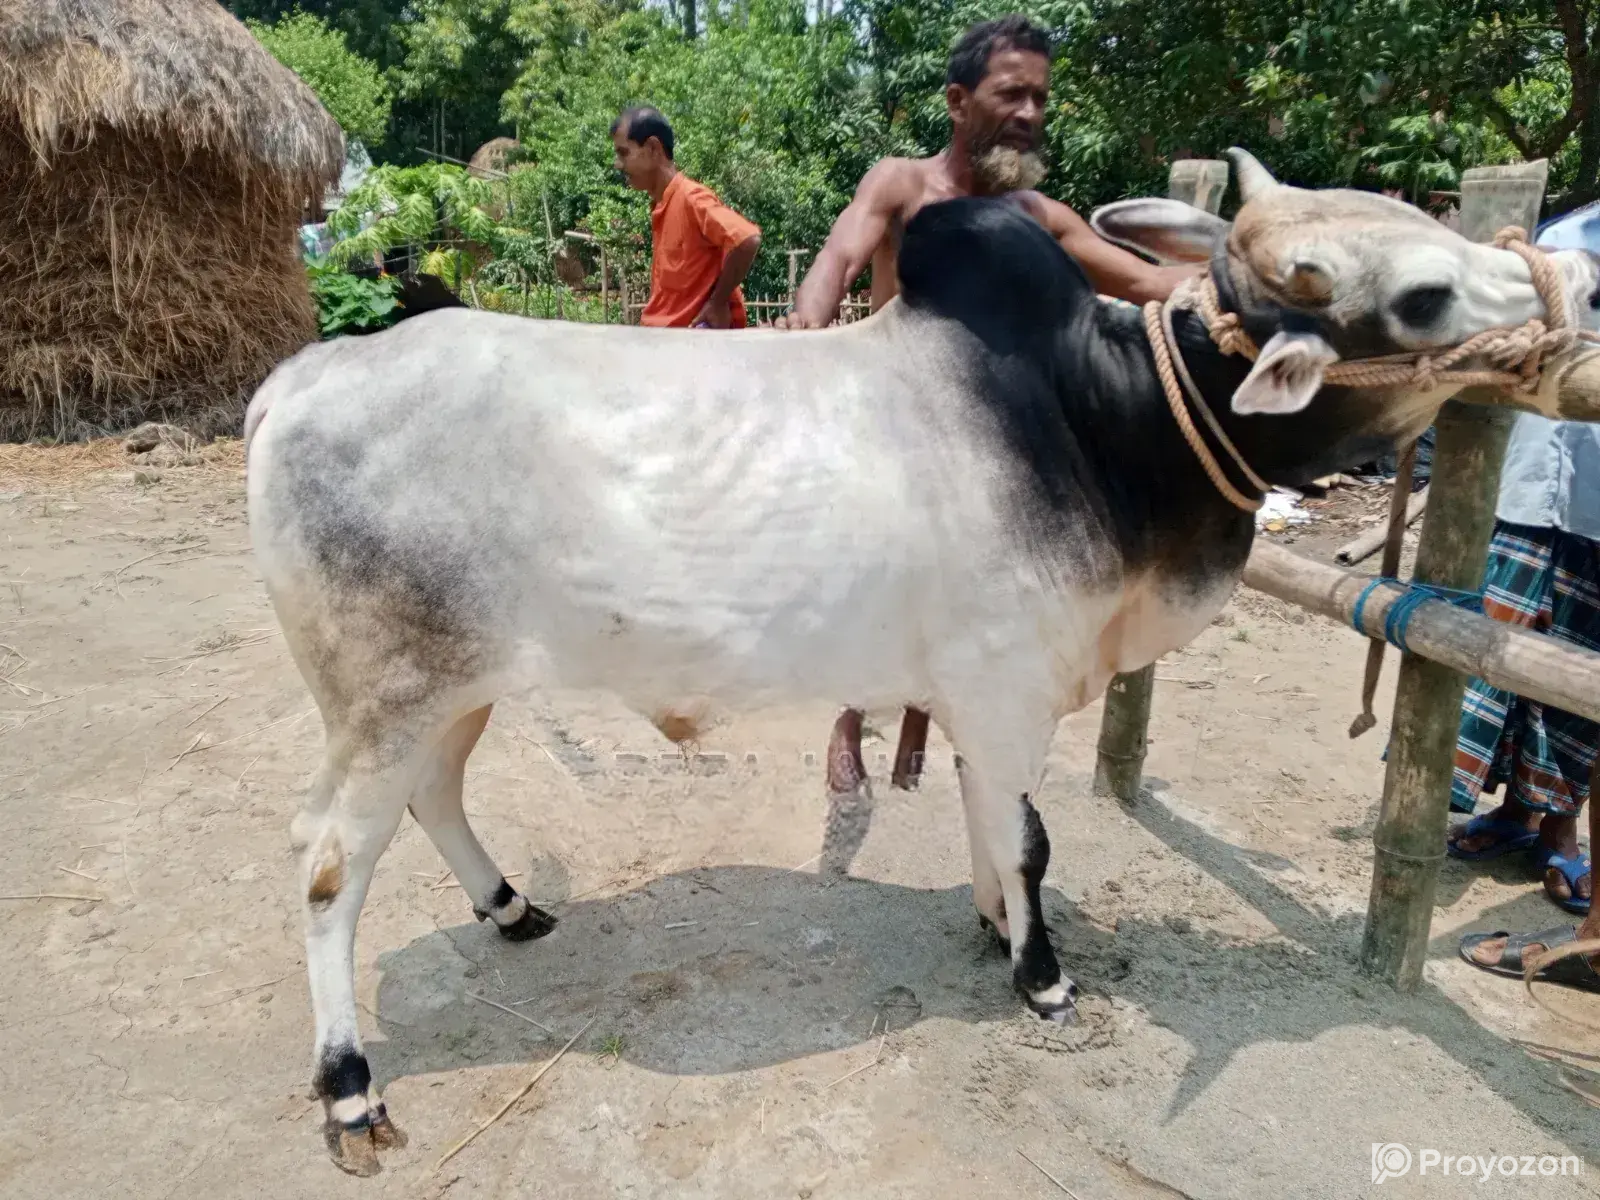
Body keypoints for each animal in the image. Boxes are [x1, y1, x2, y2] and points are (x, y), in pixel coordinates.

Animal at [244, 148, 1599, 1174]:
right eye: (1421, 294)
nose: (1574, 279)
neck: (1093, 422)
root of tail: (299, 380)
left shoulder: (975, 699)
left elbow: (989, 823)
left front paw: (995, 928)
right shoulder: (1006, 690)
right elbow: (1031, 835)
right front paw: (1041, 976)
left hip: (452, 694)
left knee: (434, 798)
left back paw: (514, 906)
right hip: (386, 697)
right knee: (325, 867)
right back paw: (350, 1085)